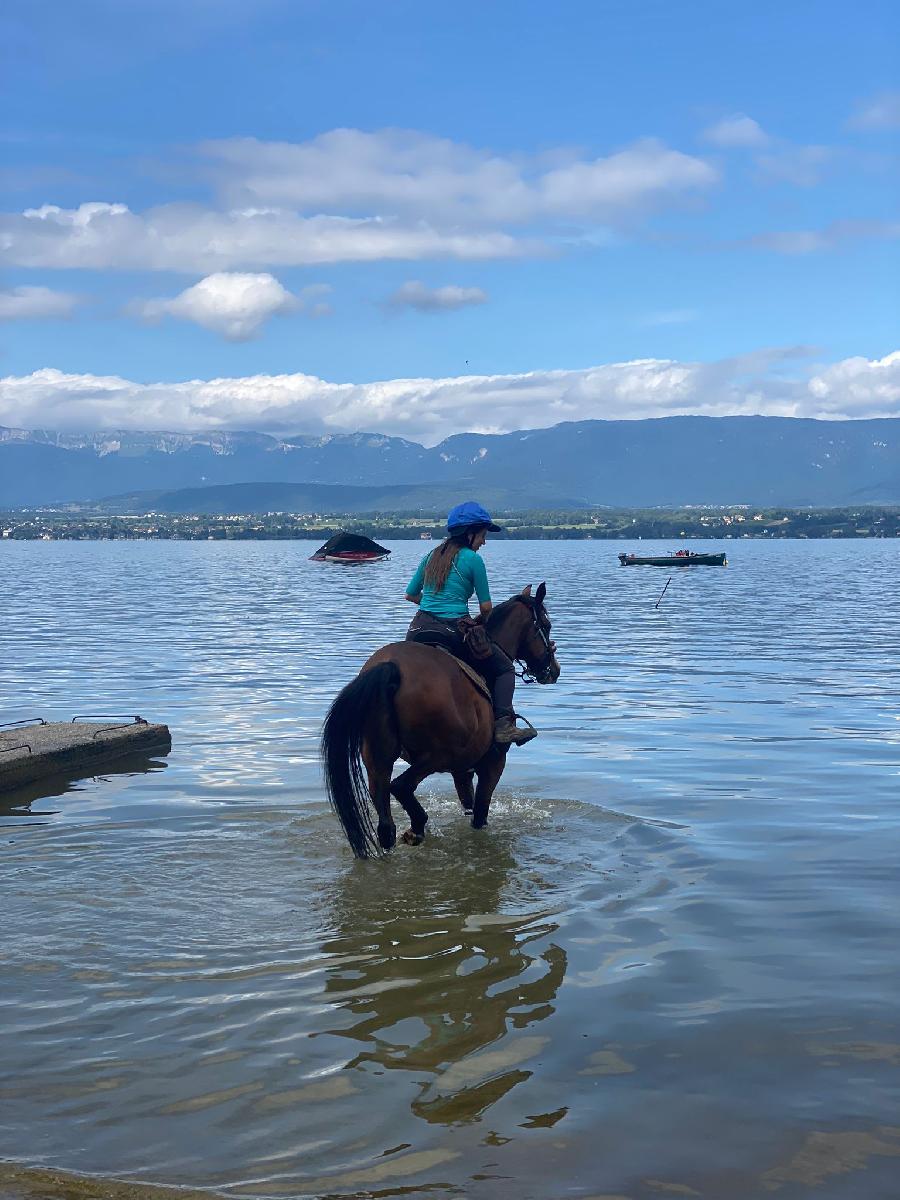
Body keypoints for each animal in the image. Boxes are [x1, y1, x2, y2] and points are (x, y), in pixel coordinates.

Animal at [324, 583, 561, 859]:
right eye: (546, 625)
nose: (554, 670)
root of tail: (390, 666)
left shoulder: (462, 771)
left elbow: (468, 804)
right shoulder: (492, 762)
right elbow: (479, 815)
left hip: (377, 760)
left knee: (386, 822)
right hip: (439, 756)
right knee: (401, 786)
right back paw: (416, 828)